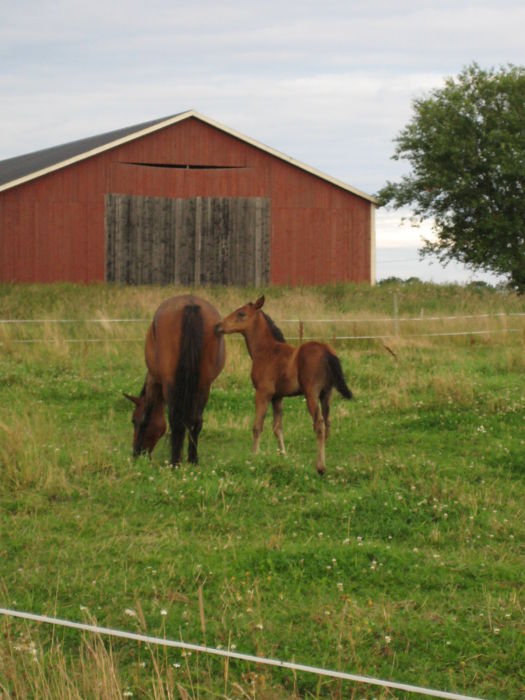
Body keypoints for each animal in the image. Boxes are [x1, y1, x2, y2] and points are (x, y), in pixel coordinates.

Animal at [126, 296, 226, 464]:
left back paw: (175, 462)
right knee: (196, 422)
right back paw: (192, 460)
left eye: (134, 420)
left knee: (176, 421)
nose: (136, 452)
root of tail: (191, 305)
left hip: (171, 384)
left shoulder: (156, 382)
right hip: (203, 385)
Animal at [213, 296, 352, 476]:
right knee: (327, 423)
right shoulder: (278, 397)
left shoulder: (263, 393)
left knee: (319, 425)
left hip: (311, 394)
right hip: (326, 394)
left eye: (241, 313)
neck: (266, 351)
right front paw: (284, 456)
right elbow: (277, 427)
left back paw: (320, 466)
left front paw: (253, 455)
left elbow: (257, 426)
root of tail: (327, 352)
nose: (218, 326)